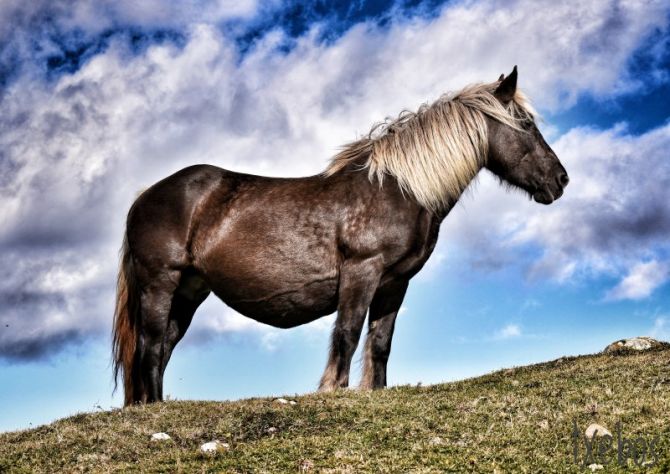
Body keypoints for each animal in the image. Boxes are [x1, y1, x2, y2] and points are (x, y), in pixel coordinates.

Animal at [113, 66, 568, 406]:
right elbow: (347, 334)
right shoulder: (361, 273)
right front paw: (334, 390)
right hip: (160, 283)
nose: (560, 180)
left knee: (164, 346)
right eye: (526, 125)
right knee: (150, 347)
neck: (399, 189)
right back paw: (153, 408)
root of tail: (144, 197)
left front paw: (374, 392)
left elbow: (380, 342)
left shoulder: (394, 283)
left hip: (190, 291)